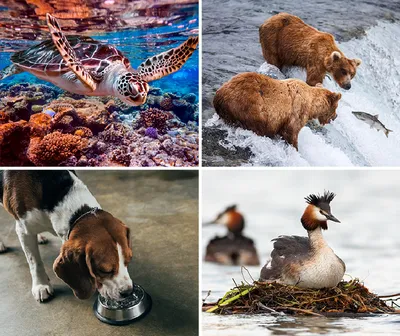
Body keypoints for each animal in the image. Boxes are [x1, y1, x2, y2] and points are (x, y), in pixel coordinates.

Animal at [0, 171, 134, 302]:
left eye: (128, 260)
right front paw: (41, 285)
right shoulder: (23, 231)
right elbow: (35, 262)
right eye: (104, 270)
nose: (128, 292)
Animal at [214, 72, 342, 150]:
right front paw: (295, 148)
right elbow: (291, 132)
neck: (311, 105)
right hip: (249, 106)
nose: (335, 116)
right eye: (336, 107)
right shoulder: (296, 112)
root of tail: (219, 95)